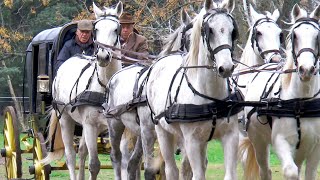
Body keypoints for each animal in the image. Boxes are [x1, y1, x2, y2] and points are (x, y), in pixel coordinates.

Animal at [40, 1, 123, 180]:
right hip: (66, 119)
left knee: (83, 152)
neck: (105, 87)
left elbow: (118, 159)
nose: (103, 57)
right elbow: (94, 165)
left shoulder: (115, 126)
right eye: (96, 29)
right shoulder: (91, 125)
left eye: (116, 29)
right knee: (71, 155)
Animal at [105, 9, 194, 180]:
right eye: (188, 38)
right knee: (116, 157)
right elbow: (150, 169)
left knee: (132, 163)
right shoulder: (148, 131)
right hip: (115, 125)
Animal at [146, 0, 242, 179]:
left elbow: (228, 174)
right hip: (162, 132)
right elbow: (196, 174)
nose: (226, 67)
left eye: (232, 31)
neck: (211, 97)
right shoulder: (192, 141)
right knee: (171, 169)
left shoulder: (230, 136)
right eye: (209, 30)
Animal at [240, 3, 320, 179]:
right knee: (265, 170)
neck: (301, 102)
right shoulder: (281, 141)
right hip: (259, 141)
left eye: (318, 36)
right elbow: (291, 171)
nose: (306, 70)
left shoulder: (315, 146)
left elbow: (309, 173)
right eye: (294, 35)